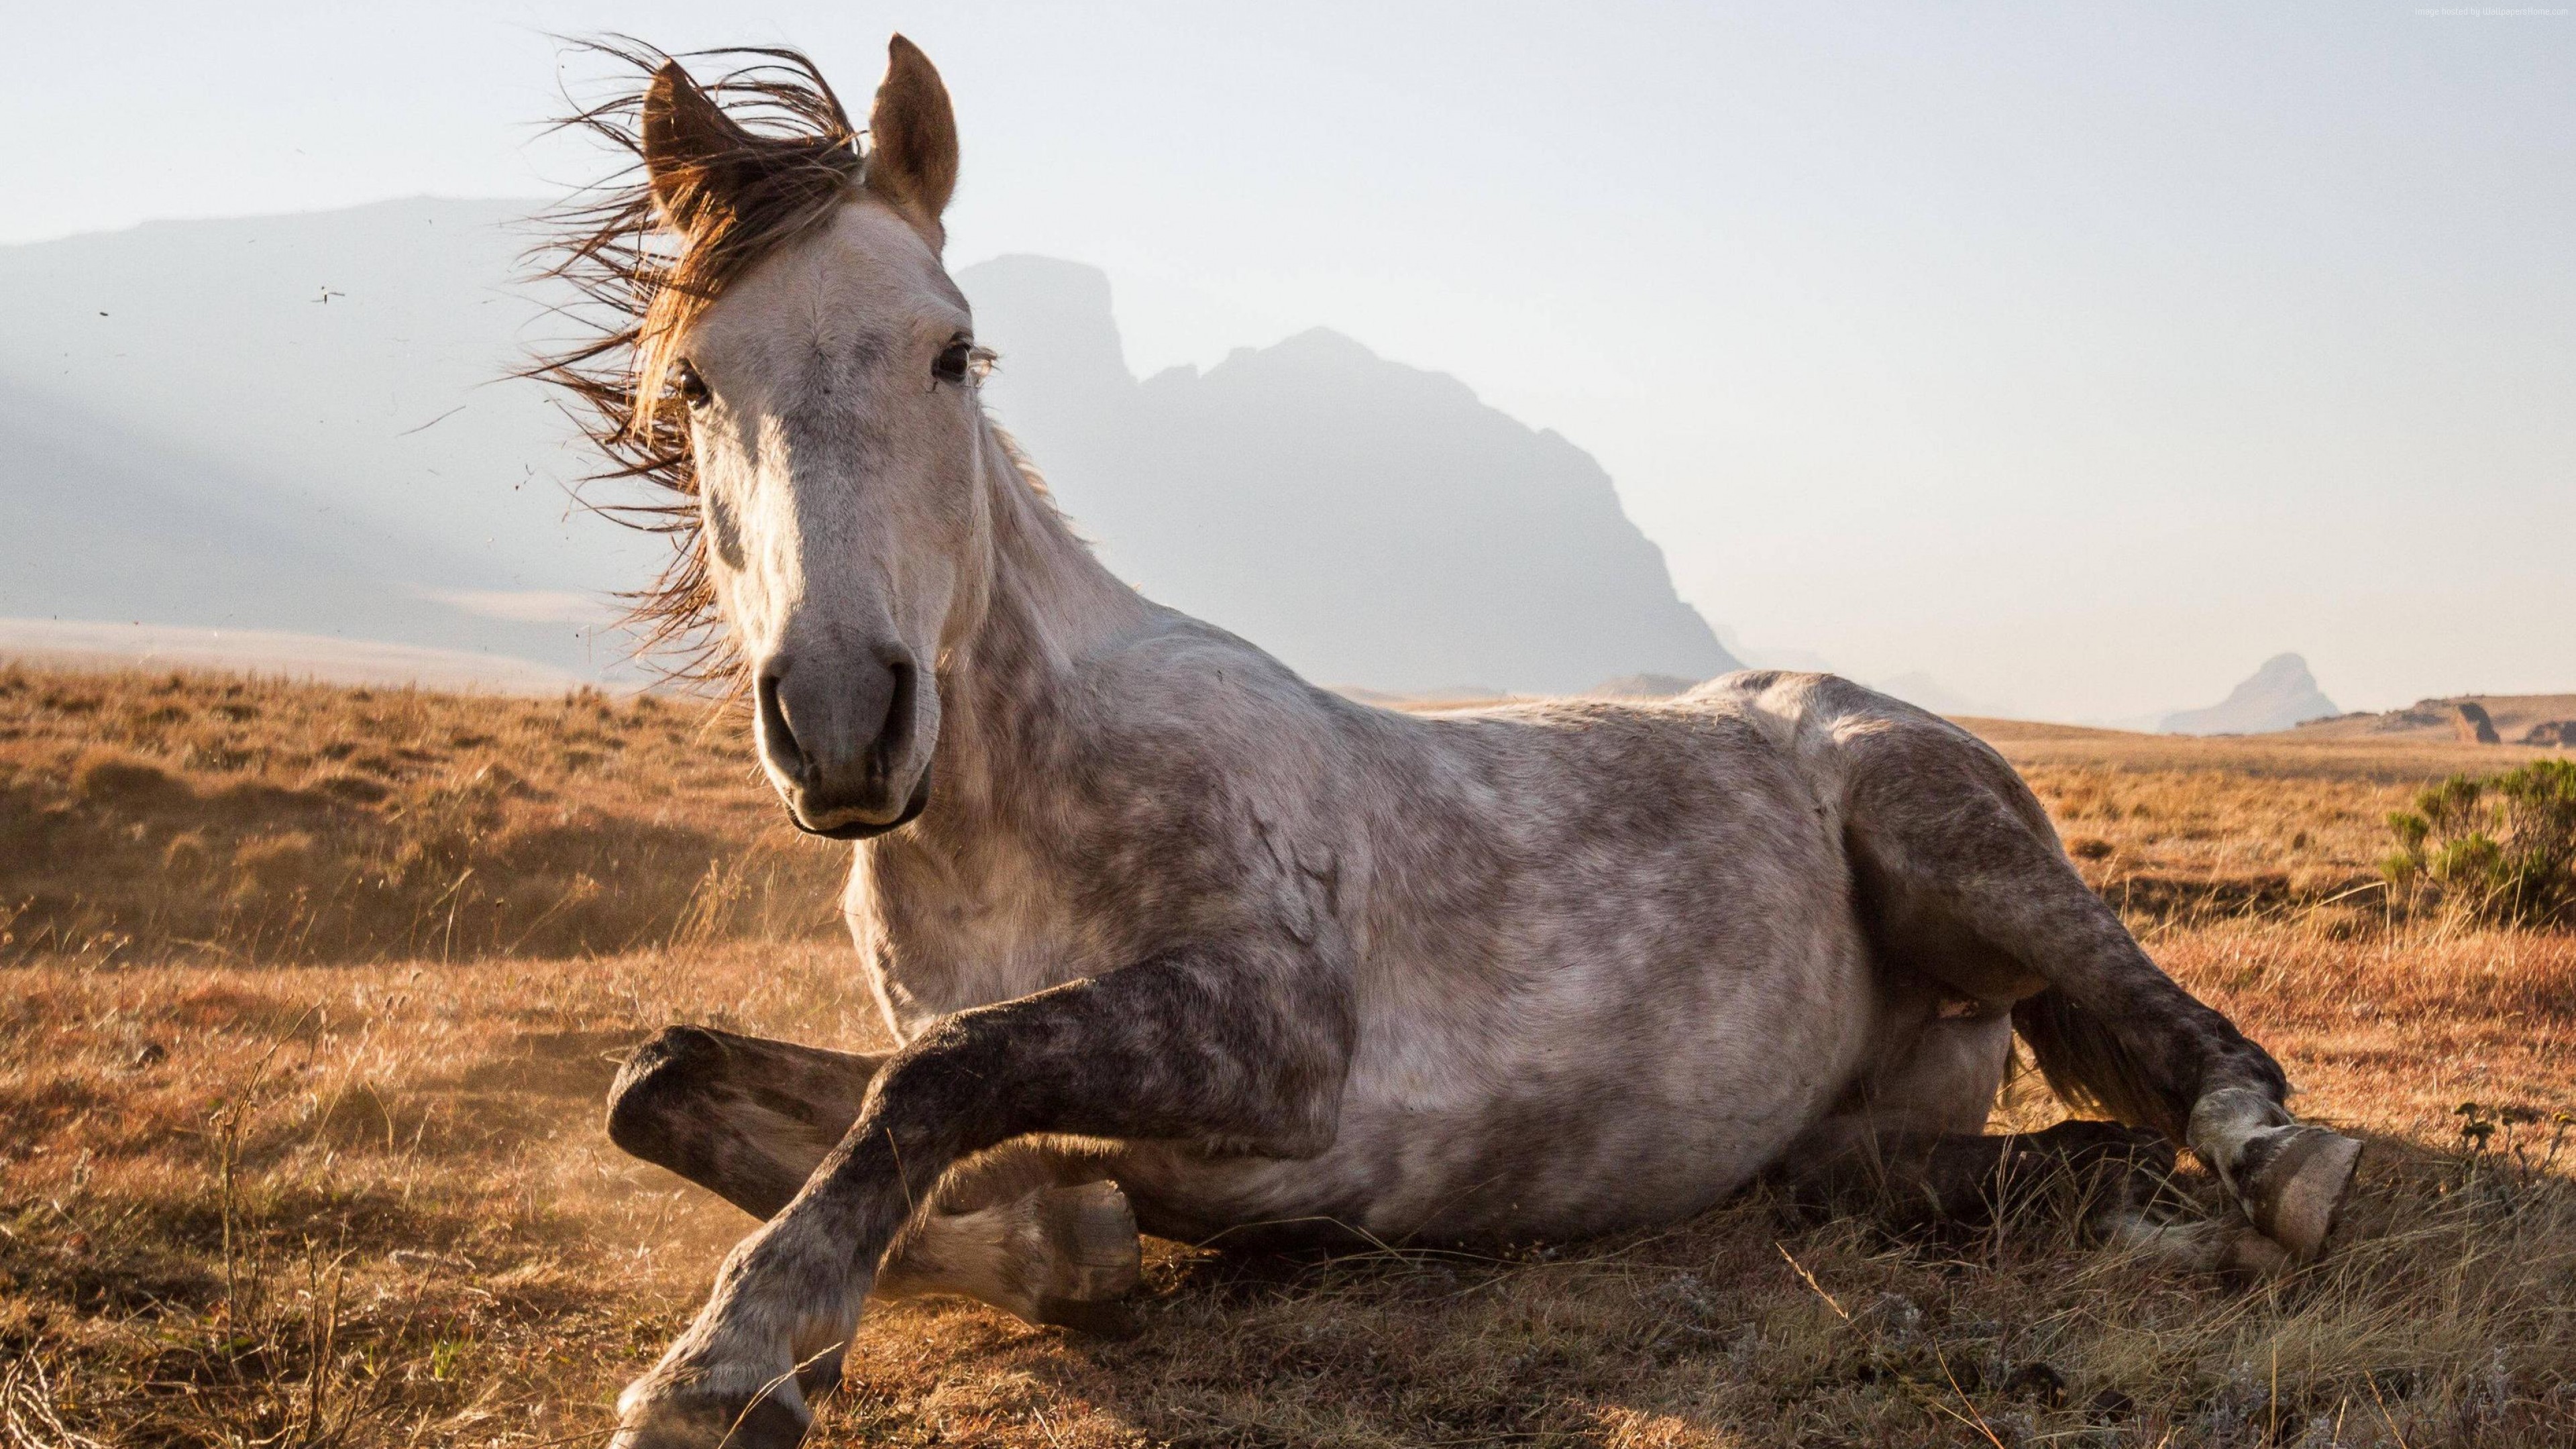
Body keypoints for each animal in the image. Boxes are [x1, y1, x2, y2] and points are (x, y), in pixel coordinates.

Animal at [533, 36, 2359, 1444]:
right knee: (1960, 1164)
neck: (1012, 806)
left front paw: (730, 1352)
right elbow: (668, 1079)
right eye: (696, 383)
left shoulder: (1275, 1033)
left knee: (2185, 1035)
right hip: (1840, 1136)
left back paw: (2270, 1168)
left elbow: (941, 1072)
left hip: (1951, 837)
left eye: (950, 351)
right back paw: (2118, 1204)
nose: (844, 718)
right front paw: (1045, 1241)